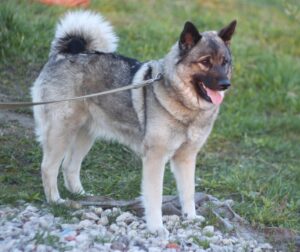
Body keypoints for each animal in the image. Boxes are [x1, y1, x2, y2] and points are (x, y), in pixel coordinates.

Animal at [31, 10, 237, 233]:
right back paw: (56, 201)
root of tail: (65, 53)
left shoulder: (186, 158)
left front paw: (190, 217)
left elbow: (188, 191)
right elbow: (154, 197)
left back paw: (82, 196)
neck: (185, 104)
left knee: (69, 165)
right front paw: (156, 227)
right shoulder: (155, 158)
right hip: (61, 132)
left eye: (224, 62)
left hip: (85, 135)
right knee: (48, 167)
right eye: (205, 62)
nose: (225, 84)